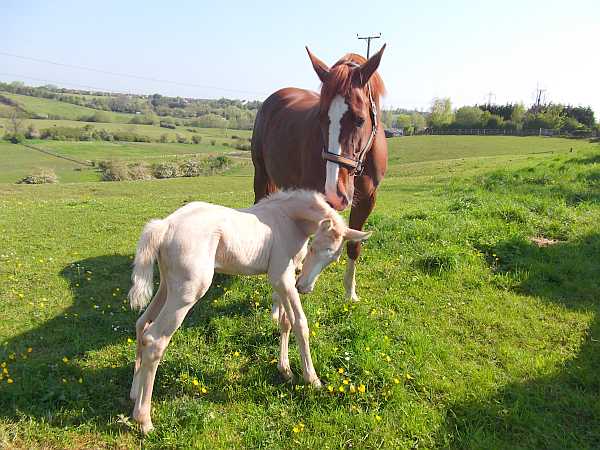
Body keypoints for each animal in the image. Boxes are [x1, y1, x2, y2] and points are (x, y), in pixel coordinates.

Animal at [128, 190, 368, 432]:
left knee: (142, 324)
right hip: (187, 293)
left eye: (334, 257)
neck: (288, 220)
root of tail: (164, 226)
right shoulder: (282, 278)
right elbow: (300, 324)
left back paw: (134, 391)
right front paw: (312, 378)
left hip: (167, 287)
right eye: (313, 248)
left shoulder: (282, 280)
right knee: (155, 339)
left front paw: (286, 370)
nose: (304, 287)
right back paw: (144, 420)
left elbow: (285, 322)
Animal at [250, 45, 386, 300]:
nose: (334, 191)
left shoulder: (367, 200)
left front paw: (350, 291)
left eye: (360, 119)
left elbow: (353, 245)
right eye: (321, 116)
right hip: (261, 174)